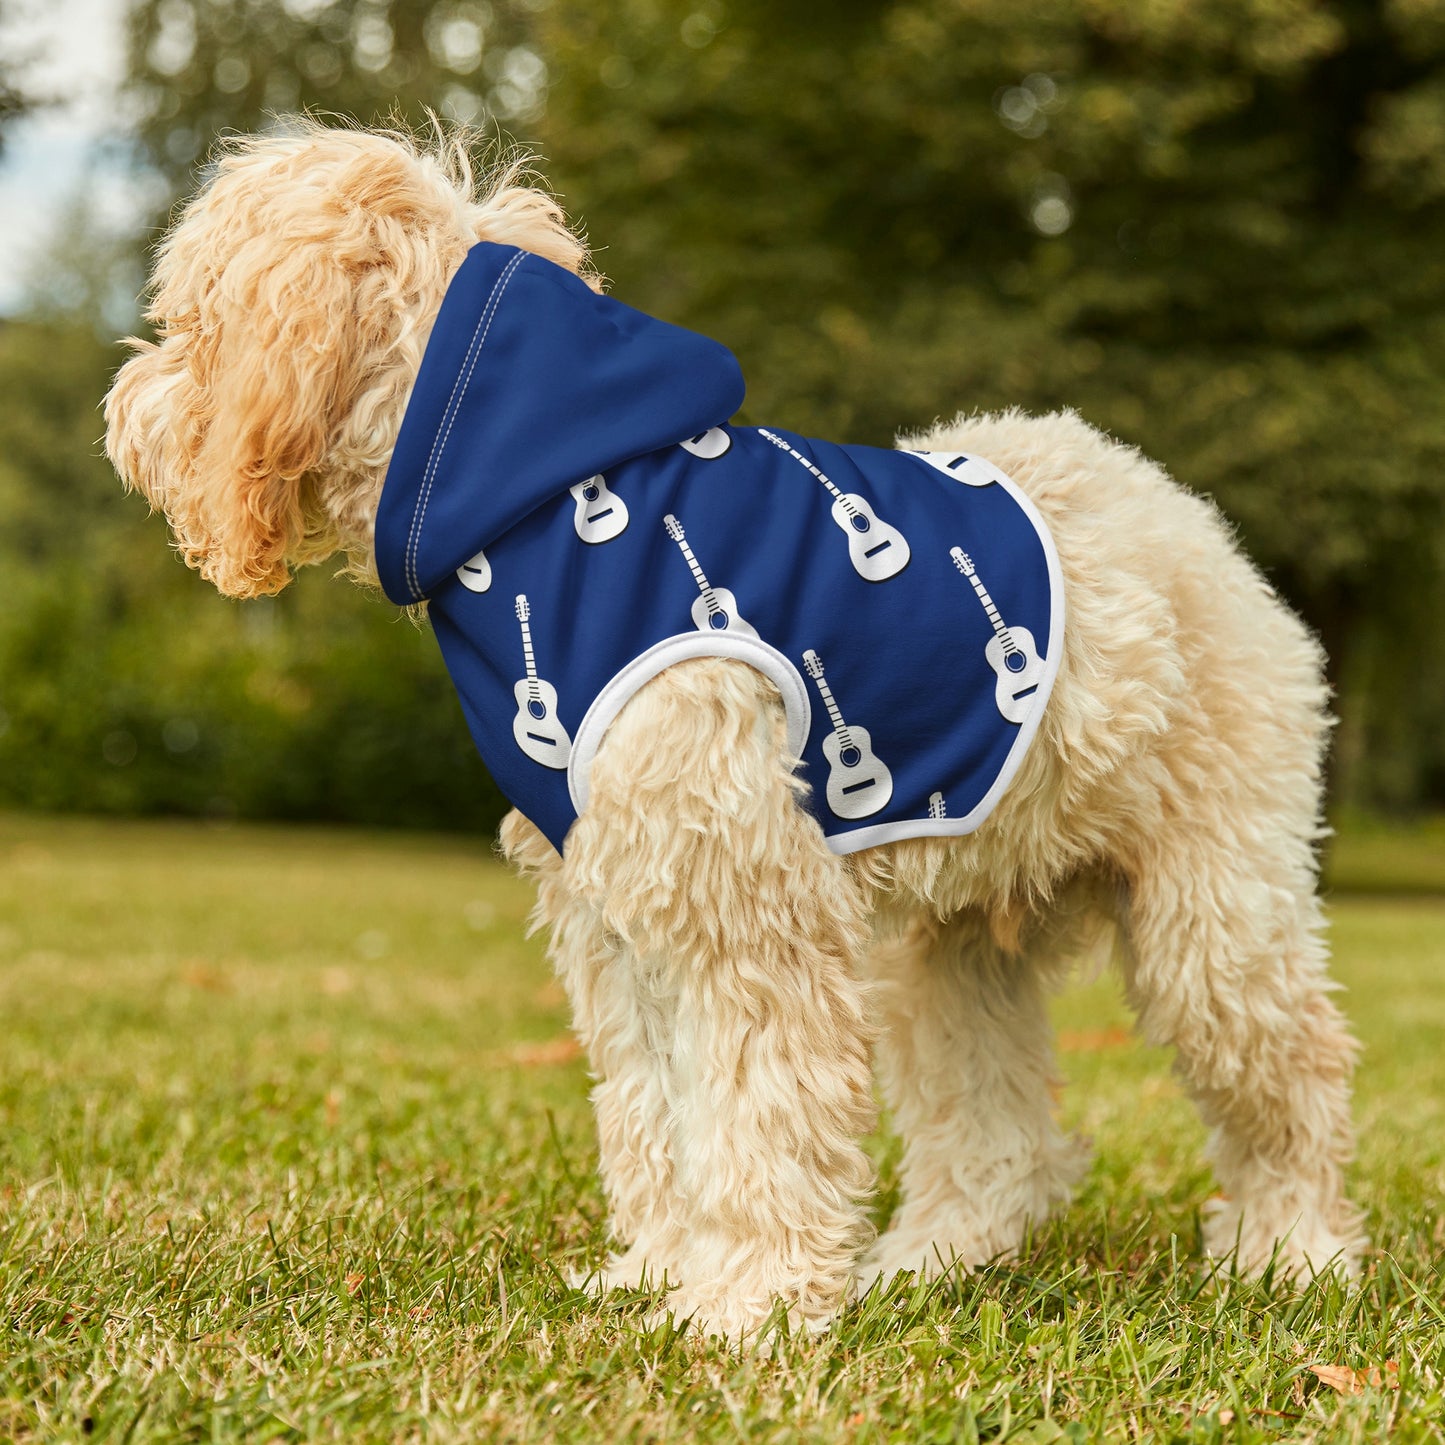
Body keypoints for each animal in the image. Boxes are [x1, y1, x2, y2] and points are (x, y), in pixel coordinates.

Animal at [106, 124, 1358, 1340]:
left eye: (189, 322)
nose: (123, 408)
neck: (533, 499)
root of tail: (1183, 514)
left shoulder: (743, 904)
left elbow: (758, 1111)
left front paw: (745, 1304)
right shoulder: (618, 912)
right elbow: (656, 1109)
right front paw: (662, 1272)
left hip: (1212, 915)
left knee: (1293, 1074)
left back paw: (1290, 1252)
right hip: (950, 948)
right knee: (997, 1133)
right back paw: (931, 1260)